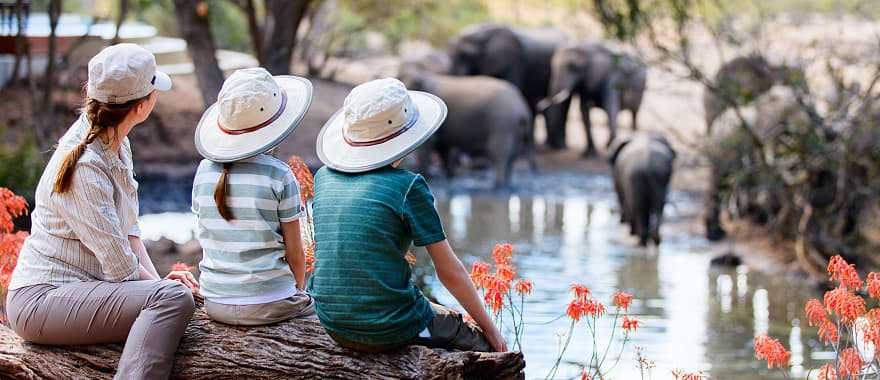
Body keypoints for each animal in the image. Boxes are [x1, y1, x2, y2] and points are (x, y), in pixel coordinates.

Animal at [400, 66, 536, 190]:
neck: (423, 74)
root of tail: (523, 109)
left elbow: (429, 147)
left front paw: (428, 177)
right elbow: (444, 148)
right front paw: (450, 176)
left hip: (502, 123)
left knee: (499, 153)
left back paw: (498, 186)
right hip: (515, 128)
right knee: (513, 155)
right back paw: (506, 184)